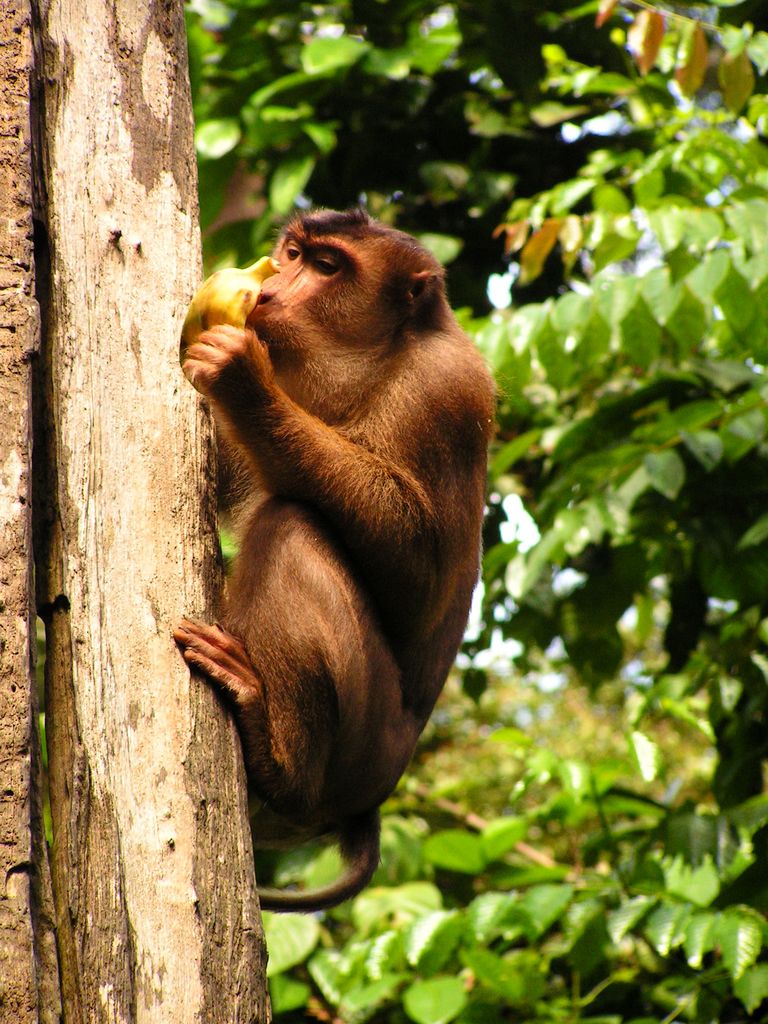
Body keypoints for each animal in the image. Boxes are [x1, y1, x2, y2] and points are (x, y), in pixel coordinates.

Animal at [174, 207, 495, 913]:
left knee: (292, 528)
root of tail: (371, 800)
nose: (269, 289)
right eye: (293, 254)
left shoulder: (448, 390)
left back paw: (278, 758)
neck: (368, 359)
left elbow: (417, 576)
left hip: (365, 741)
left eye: (326, 268)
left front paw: (244, 382)